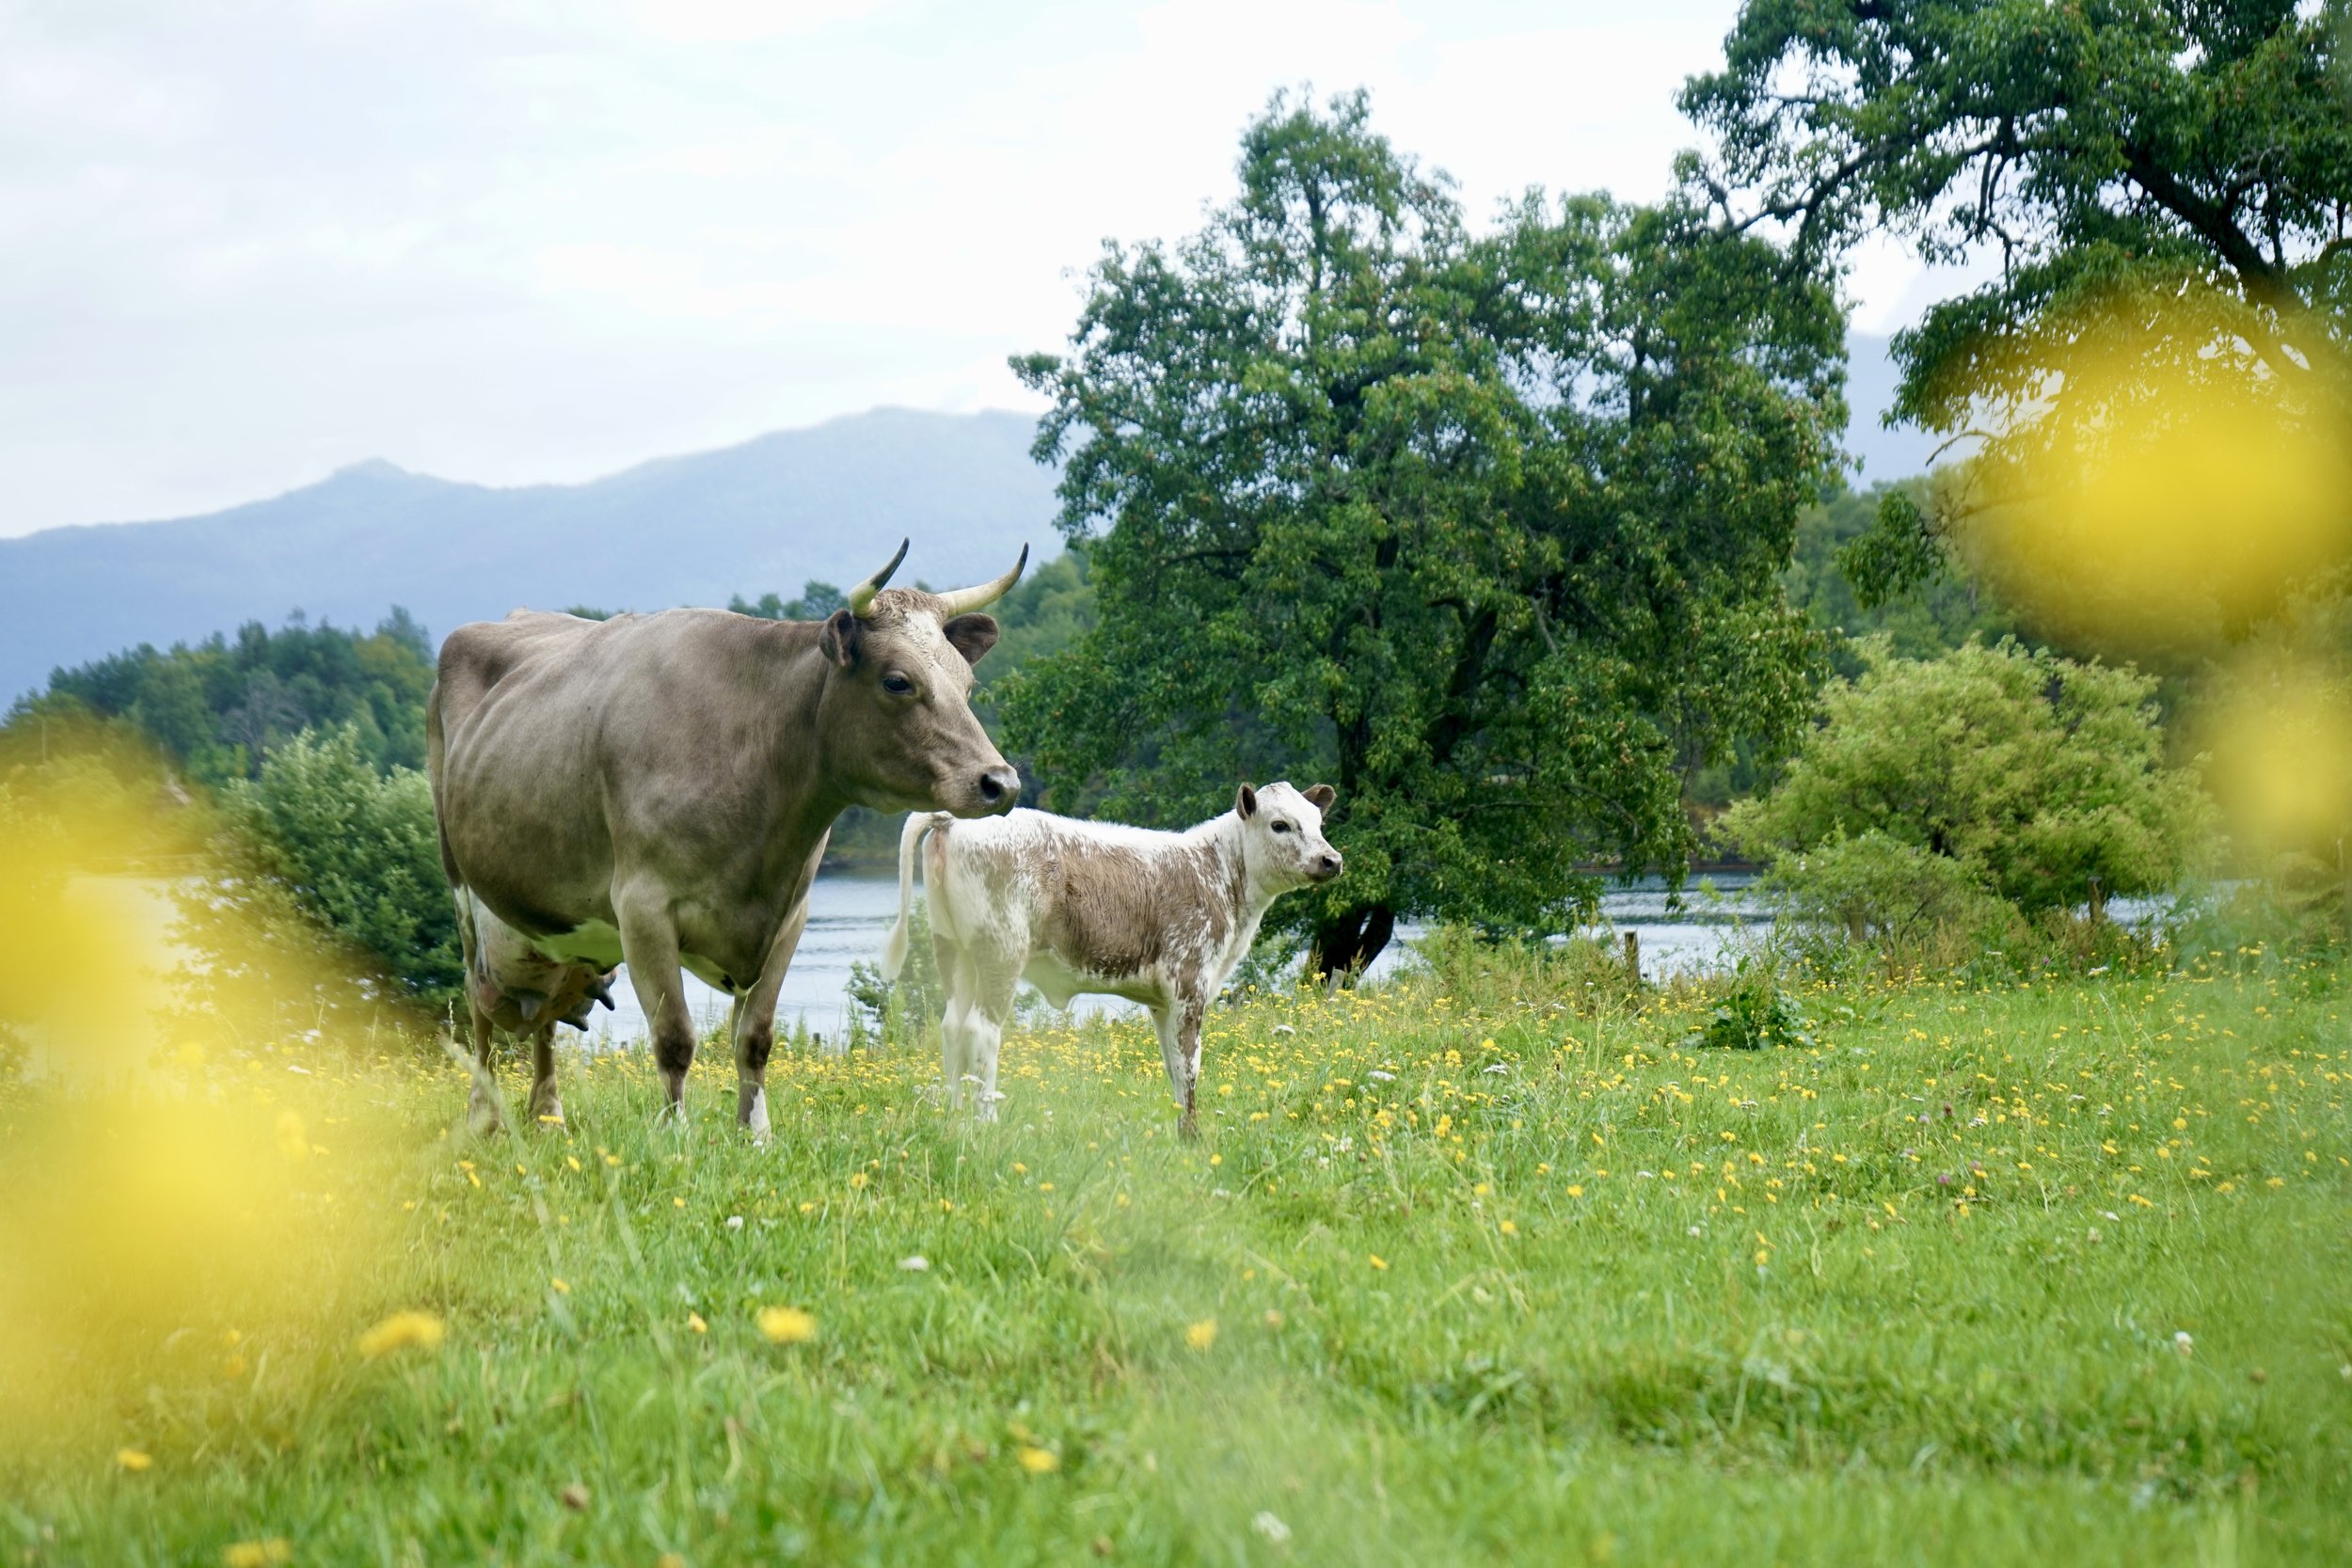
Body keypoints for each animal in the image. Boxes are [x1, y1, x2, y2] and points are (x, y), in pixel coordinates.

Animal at [880, 782, 1342, 1136]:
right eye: (1280, 824)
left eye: (1319, 824)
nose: (1332, 860)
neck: (1218, 873)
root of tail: (953, 819)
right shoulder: (1189, 982)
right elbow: (1190, 1065)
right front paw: (1195, 1136)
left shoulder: (1163, 1001)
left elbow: (1173, 1064)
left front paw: (1182, 1134)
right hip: (1000, 951)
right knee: (981, 1030)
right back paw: (986, 1122)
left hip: (953, 950)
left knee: (952, 1027)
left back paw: (955, 1119)